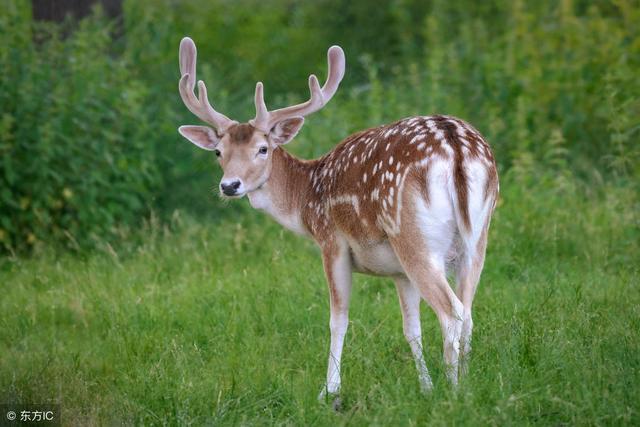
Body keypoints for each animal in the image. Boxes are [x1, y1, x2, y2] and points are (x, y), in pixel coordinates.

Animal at [176, 36, 500, 402]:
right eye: (219, 152)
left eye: (263, 148)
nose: (230, 185)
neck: (307, 199)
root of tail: (456, 147)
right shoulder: (398, 272)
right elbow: (411, 329)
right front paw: (425, 387)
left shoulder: (331, 241)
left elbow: (338, 318)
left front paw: (329, 392)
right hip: (477, 238)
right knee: (468, 311)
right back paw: (467, 386)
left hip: (414, 236)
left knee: (452, 312)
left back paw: (454, 392)